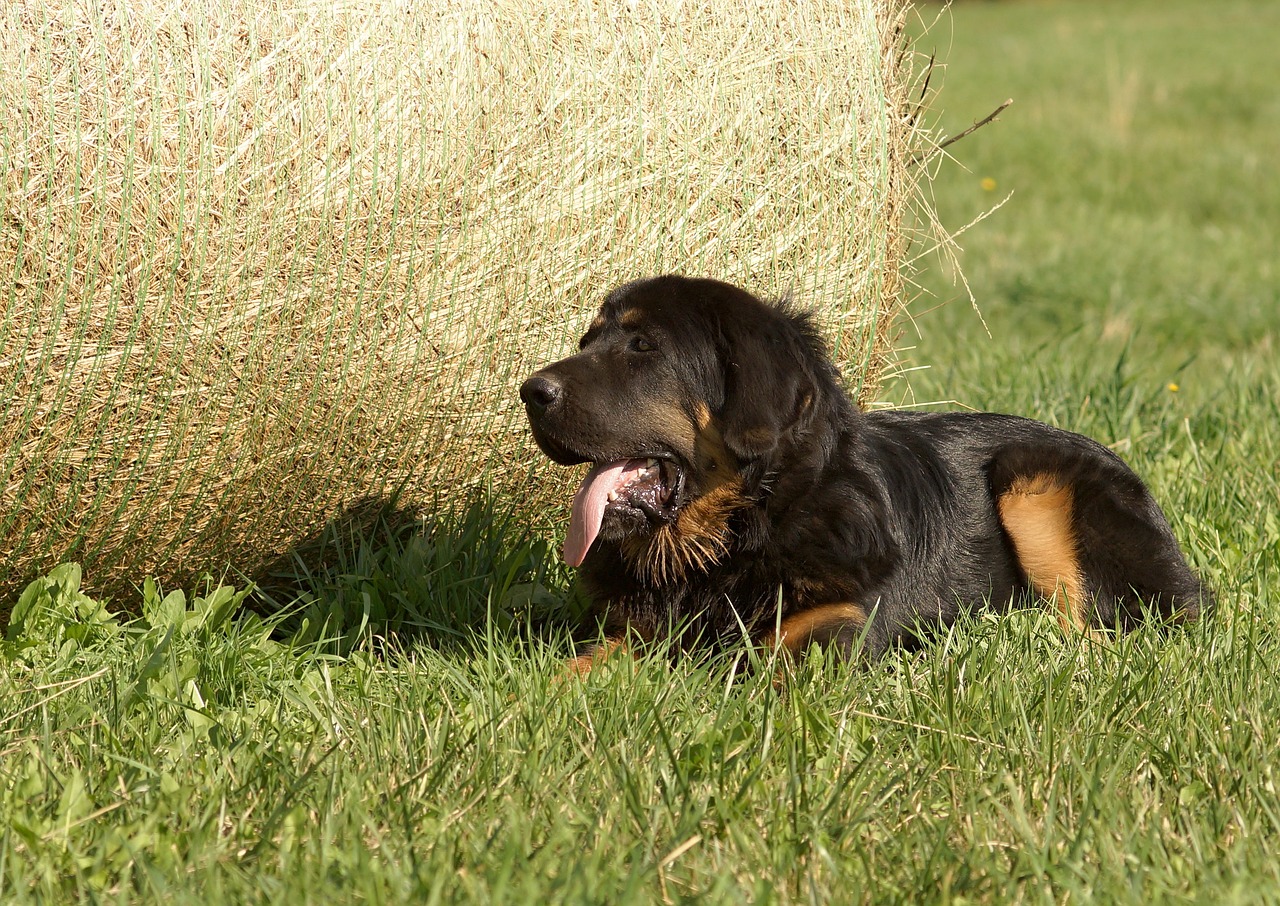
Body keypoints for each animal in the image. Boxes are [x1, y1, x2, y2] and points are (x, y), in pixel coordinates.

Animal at [517, 276, 1208, 670]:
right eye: (586, 341)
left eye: (643, 347)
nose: (530, 392)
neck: (745, 533)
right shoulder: (627, 632)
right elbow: (573, 668)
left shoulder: (837, 630)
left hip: (1032, 480)